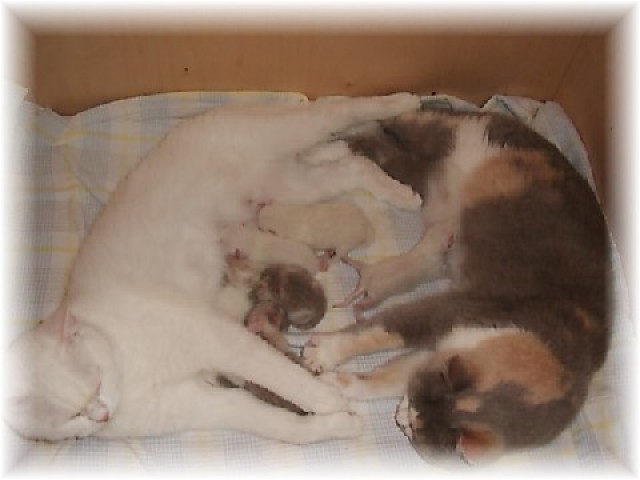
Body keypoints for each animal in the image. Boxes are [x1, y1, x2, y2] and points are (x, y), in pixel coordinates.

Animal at [5, 94, 422, 443]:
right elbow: (278, 424)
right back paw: (402, 193)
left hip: (286, 133)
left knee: (338, 111)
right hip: (292, 189)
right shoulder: (198, 405)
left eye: (94, 380)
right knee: (351, 166)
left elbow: (282, 376)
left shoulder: (216, 337)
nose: (101, 414)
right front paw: (338, 421)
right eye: (71, 415)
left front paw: (331, 393)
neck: (126, 362)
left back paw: (406, 106)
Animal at [301, 109, 609, 463]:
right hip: (452, 132)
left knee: (373, 154)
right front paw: (324, 352)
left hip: (420, 181)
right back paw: (316, 151)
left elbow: (387, 377)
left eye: (417, 432)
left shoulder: (440, 352)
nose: (401, 417)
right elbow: (380, 332)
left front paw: (338, 385)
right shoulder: (459, 308)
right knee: (381, 132)